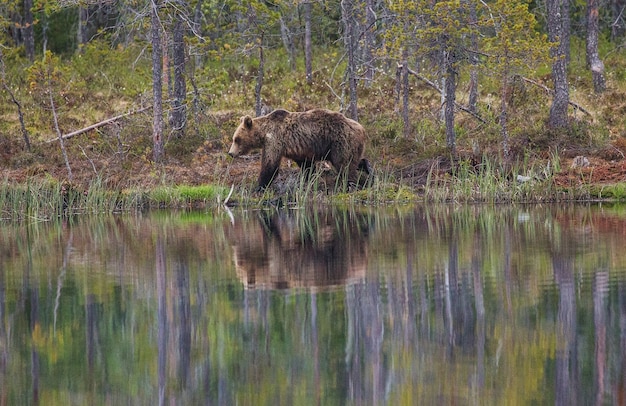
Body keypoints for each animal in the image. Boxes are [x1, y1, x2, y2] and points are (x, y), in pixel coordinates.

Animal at [227, 108, 368, 190]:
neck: (264, 133)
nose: (230, 153)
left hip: (340, 140)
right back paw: (367, 167)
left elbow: (270, 165)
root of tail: (361, 128)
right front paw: (308, 178)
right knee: (352, 160)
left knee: (344, 164)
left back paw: (350, 184)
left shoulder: (274, 141)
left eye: (236, 139)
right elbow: (306, 165)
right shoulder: (299, 149)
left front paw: (260, 186)